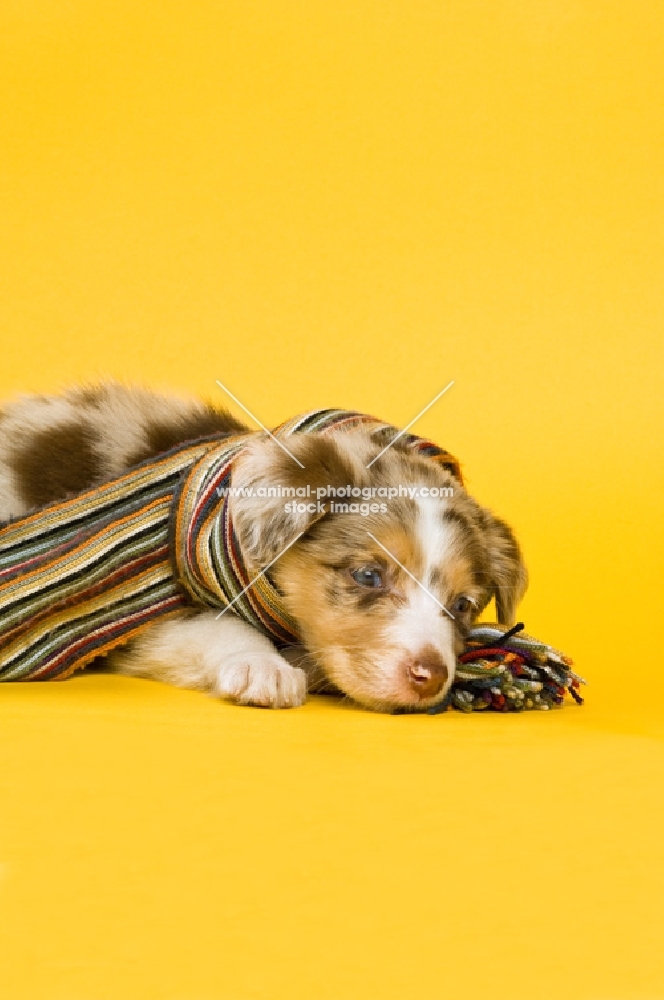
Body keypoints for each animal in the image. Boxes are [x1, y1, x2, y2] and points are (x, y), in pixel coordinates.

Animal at [1, 380, 528, 712]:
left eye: (462, 605)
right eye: (368, 575)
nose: (431, 678)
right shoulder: (138, 616)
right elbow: (213, 627)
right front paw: (264, 669)